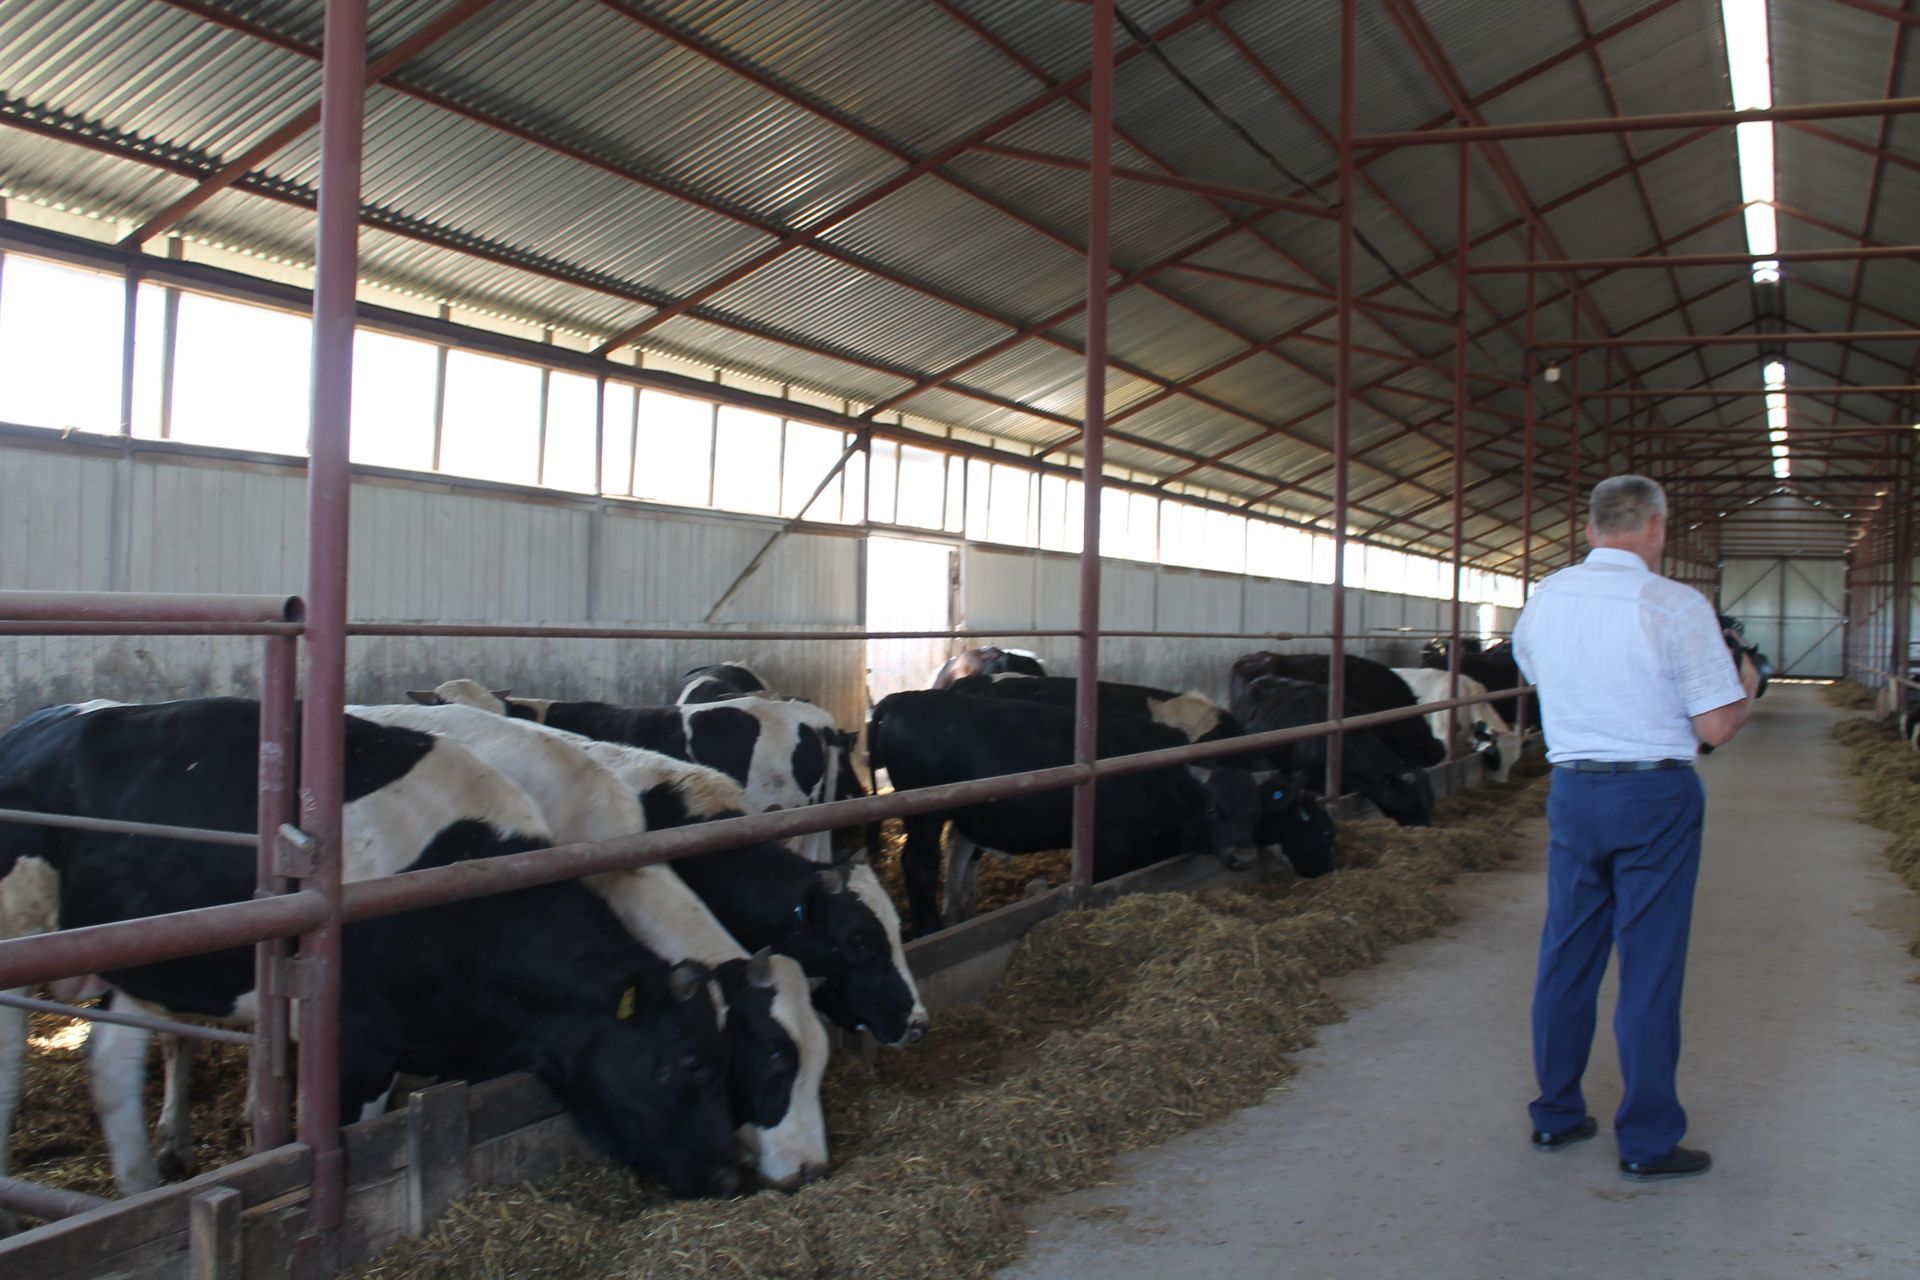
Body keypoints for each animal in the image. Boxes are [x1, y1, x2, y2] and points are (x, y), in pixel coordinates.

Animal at [871, 690, 1274, 940]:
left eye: (1255, 811)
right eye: (1214, 809)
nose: (1243, 856)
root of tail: (903, 699)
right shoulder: (1109, 853)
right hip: (924, 817)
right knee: (920, 867)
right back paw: (929, 928)